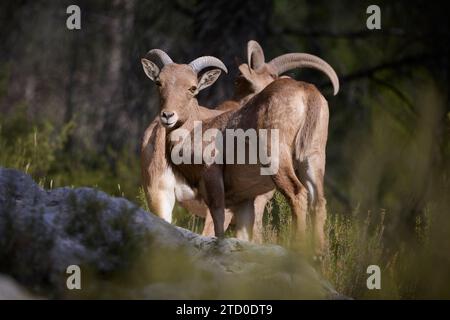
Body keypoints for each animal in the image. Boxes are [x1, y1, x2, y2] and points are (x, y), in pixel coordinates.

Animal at [142, 45, 340, 255]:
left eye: (192, 88)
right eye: (159, 82)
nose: (168, 115)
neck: (196, 130)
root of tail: (307, 93)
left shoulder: (215, 184)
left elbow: (218, 223)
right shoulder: (244, 200)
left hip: (276, 158)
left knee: (297, 193)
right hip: (313, 157)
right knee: (318, 201)